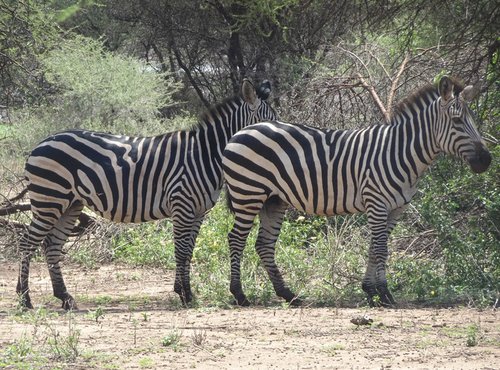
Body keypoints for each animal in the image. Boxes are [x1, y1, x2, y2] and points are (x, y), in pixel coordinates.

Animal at [16, 79, 278, 310]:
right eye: (268, 122)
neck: (203, 155)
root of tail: (42, 142)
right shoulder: (182, 205)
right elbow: (181, 250)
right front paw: (184, 294)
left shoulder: (198, 212)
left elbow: (189, 251)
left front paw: (187, 293)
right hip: (49, 199)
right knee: (27, 242)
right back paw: (24, 299)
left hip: (70, 204)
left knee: (52, 245)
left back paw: (65, 298)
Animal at [223, 75, 492, 306]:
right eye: (457, 121)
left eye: (472, 119)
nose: (486, 161)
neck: (400, 152)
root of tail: (241, 131)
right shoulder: (376, 202)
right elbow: (381, 248)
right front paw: (384, 293)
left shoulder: (395, 209)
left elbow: (375, 247)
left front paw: (370, 290)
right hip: (247, 193)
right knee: (236, 238)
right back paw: (239, 294)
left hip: (273, 200)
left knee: (264, 244)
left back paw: (288, 294)